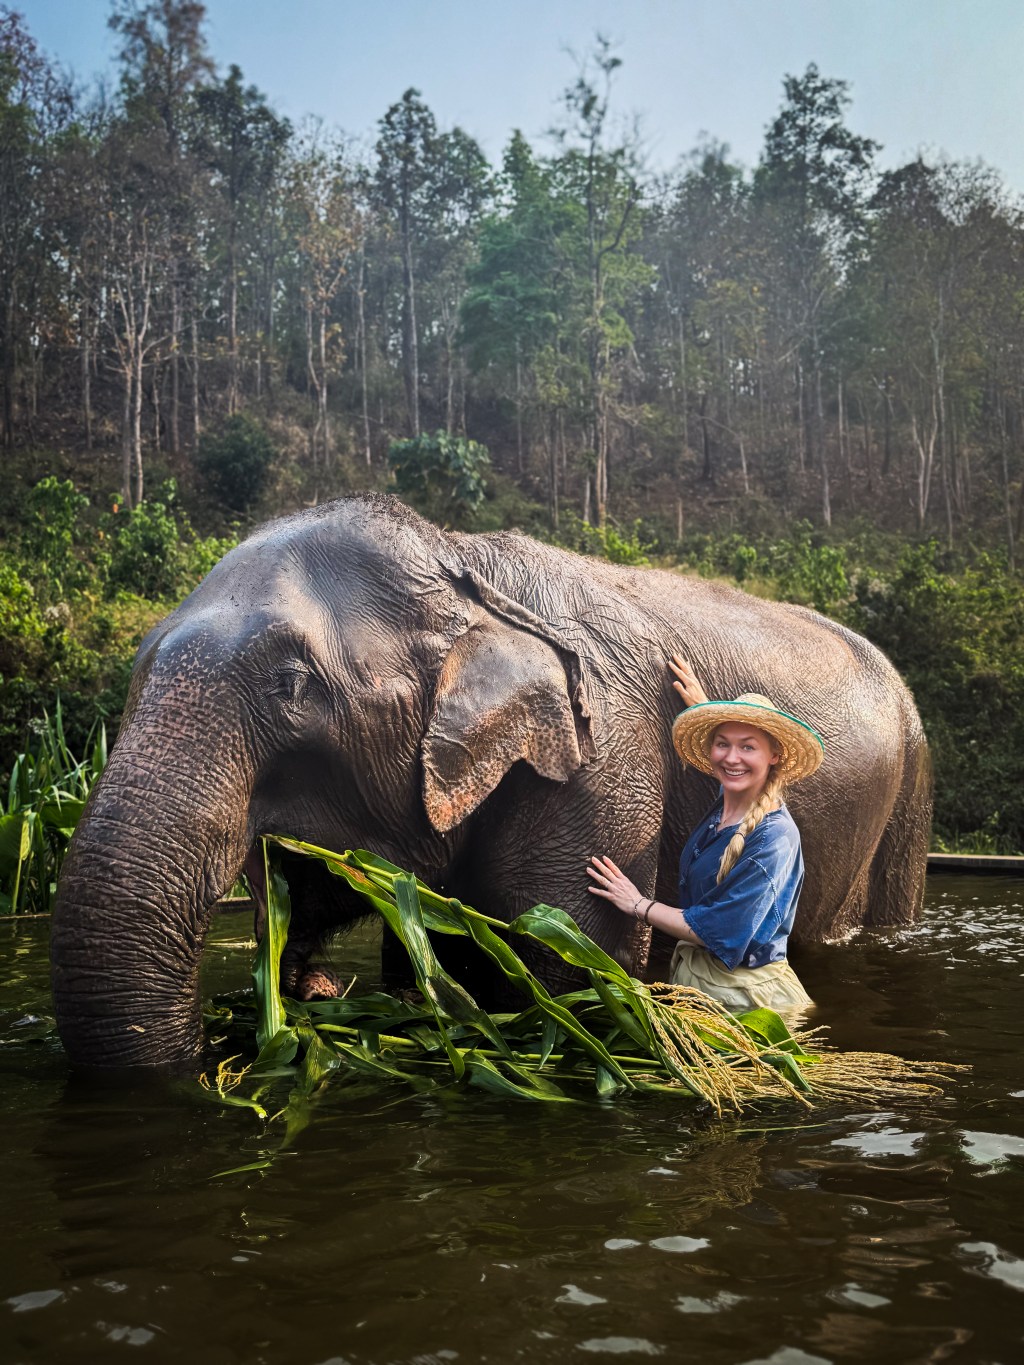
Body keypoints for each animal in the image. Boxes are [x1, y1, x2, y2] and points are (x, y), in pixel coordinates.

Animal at [51, 494, 932, 1067]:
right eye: (140, 669)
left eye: (291, 685)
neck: (465, 562)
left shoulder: (604, 766)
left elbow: (573, 970)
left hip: (911, 801)